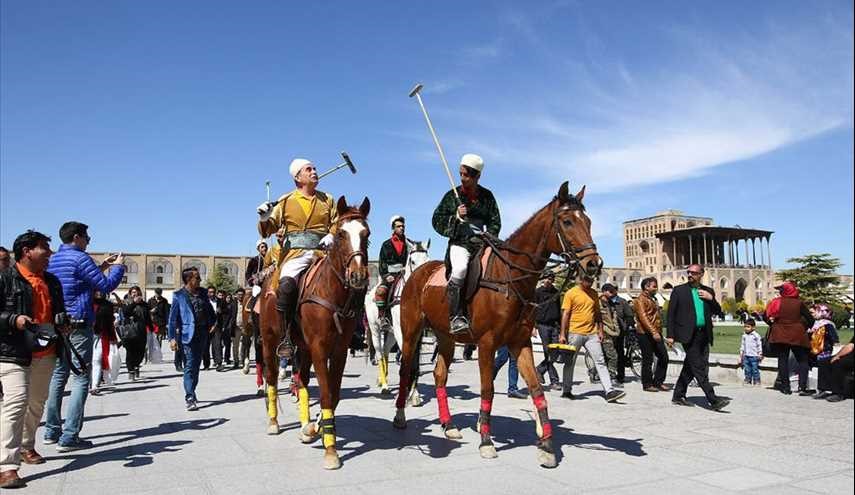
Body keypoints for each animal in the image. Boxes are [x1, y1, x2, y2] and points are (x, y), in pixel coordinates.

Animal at [258, 196, 372, 470]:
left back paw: (305, 426)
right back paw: (273, 422)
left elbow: (334, 393)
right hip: (269, 340)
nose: (358, 276)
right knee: (272, 377)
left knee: (301, 380)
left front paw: (317, 427)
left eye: (366, 234)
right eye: (341, 234)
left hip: (303, 346)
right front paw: (331, 451)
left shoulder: (339, 350)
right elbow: (327, 394)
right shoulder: (320, 348)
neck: (331, 292)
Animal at [364, 238, 432, 404]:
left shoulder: (417, 333)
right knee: (379, 353)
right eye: (412, 261)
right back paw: (384, 386)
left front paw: (414, 393)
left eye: (427, 260)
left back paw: (382, 381)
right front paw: (409, 394)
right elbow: (409, 359)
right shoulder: (402, 332)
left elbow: (415, 360)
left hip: (391, 333)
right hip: (375, 329)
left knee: (386, 352)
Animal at [394, 182, 600, 468]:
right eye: (568, 221)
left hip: (445, 336)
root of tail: (418, 273)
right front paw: (486, 441)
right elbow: (487, 389)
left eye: (588, 221)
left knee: (439, 374)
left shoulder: (520, 342)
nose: (594, 263)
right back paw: (400, 416)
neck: (510, 276)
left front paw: (547, 446)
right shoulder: (486, 343)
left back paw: (449, 425)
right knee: (406, 370)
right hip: (411, 332)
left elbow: (536, 389)